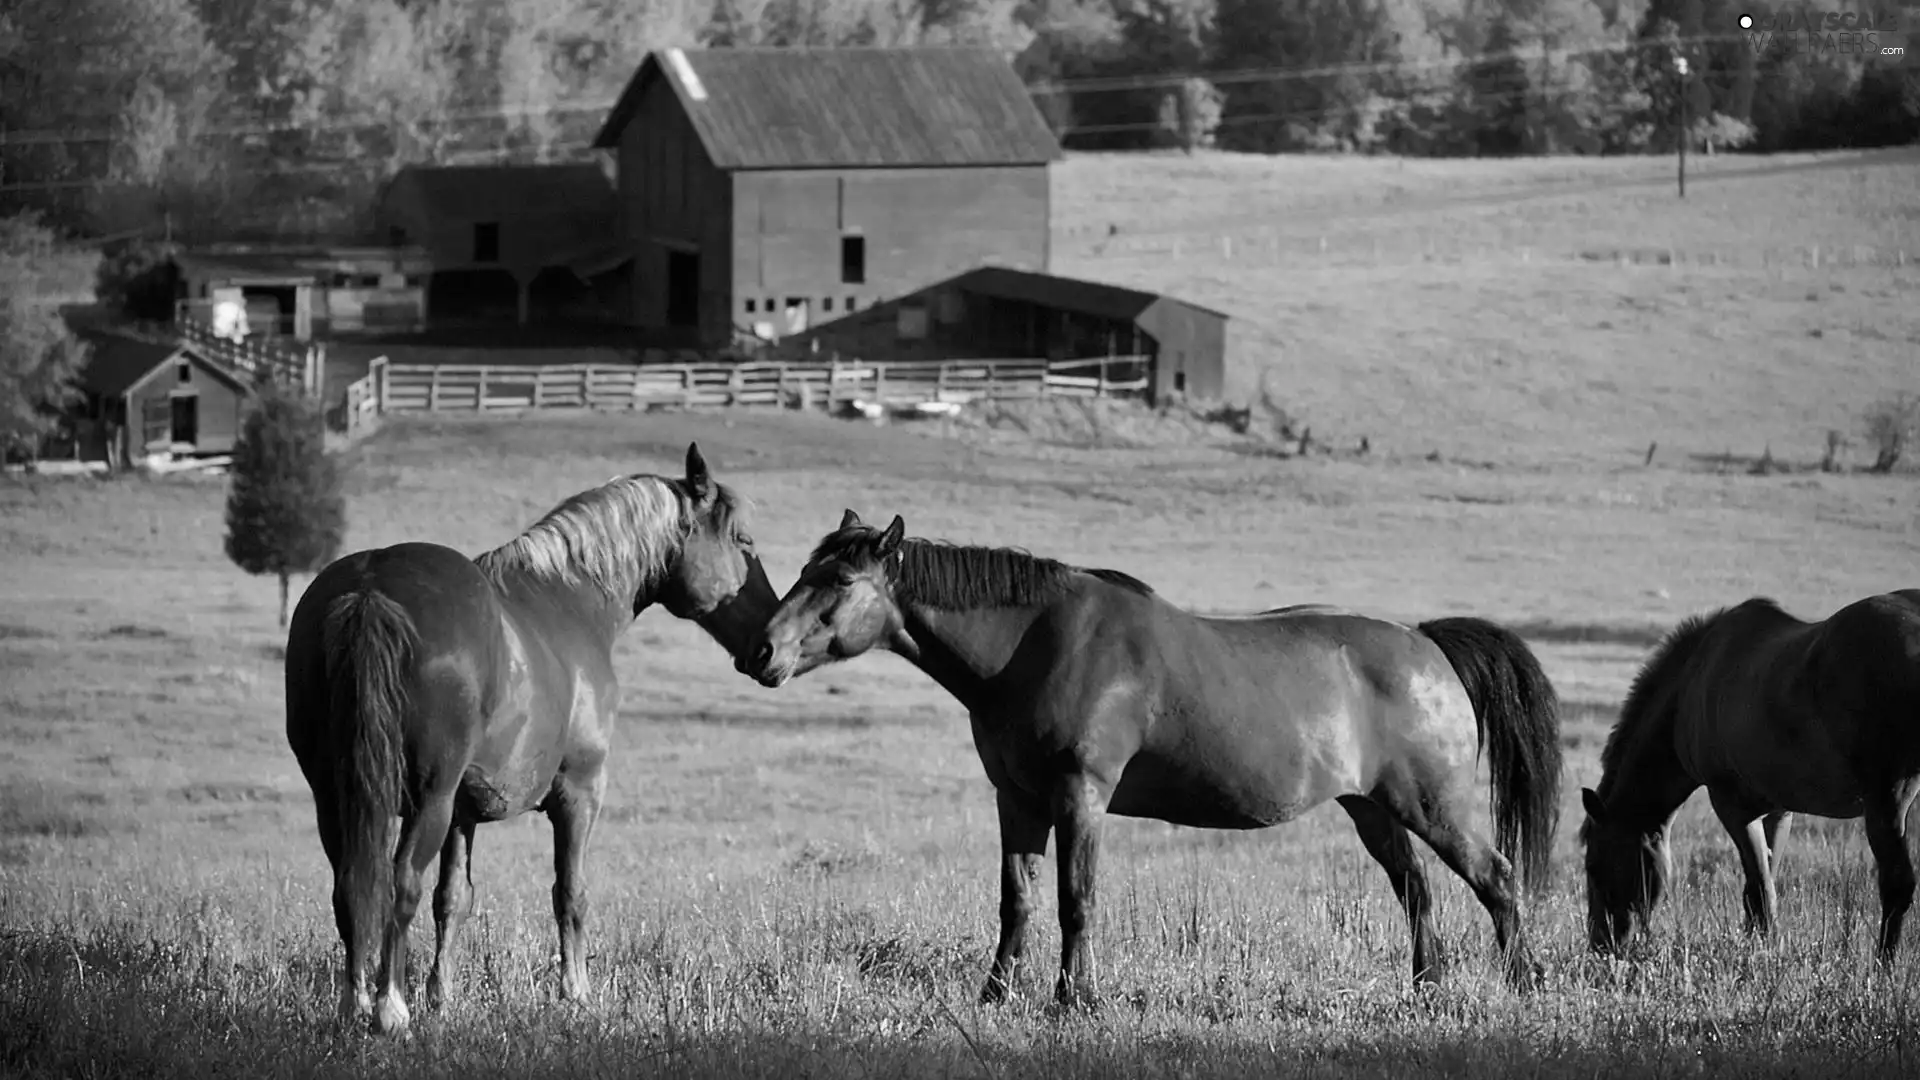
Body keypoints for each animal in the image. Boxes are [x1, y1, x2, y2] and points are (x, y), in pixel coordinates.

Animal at [282, 441, 771, 1030]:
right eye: (743, 541)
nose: (768, 645)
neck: (569, 599)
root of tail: (370, 590)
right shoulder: (578, 791)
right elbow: (570, 892)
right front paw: (576, 991)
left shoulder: (463, 813)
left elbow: (453, 899)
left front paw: (442, 996)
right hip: (427, 800)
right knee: (399, 884)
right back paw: (389, 1007)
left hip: (337, 798)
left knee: (352, 887)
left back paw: (355, 1003)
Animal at [741, 507, 1566, 1006]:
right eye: (806, 572)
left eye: (839, 580)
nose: (760, 651)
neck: (1035, 644)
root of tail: (1426, 643)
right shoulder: (1017, 801)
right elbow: (1018, 901)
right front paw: (995, 995)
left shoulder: (1081, 797)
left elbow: (1077, 900)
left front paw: (1075, 999)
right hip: (1373, 810)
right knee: (1417, 893)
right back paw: (1426, 990)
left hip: (1433, 804)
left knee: (1496, 880)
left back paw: (1525, 981)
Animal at [1574, 588, 1920, 957]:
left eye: (1593, 866)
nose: (1601, 944)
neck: (1692, 684)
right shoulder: (1779, 811)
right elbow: (1765, 879)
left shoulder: (1731, 805)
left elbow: (1759, 890)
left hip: (1887, 798)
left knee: (1896, 884)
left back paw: (1883, 965)